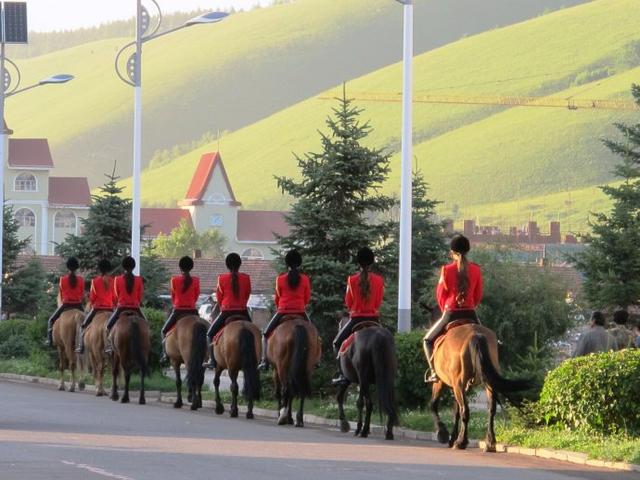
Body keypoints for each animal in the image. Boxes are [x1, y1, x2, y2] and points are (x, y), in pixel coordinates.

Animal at [424, 322, 528, 450]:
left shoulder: (442, 383)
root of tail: (475, 334)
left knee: (465, 410)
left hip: (459, 384)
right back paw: (489, 442)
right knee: (491, 409)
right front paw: (452, 438)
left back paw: (461, 442)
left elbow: (434, 404)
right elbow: (456, 411)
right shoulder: (459, 387)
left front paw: (443, 434)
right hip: (487, 382)